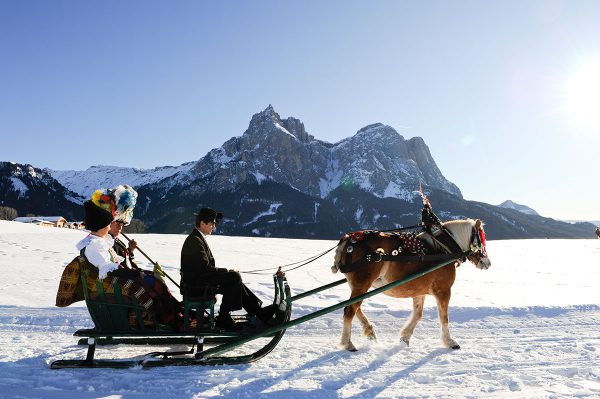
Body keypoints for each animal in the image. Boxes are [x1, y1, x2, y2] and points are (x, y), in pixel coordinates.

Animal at [332, 219, 492, 354]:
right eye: (481, 239)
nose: (488, 263)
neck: (444, 248)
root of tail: (348, 239)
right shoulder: (444, 291)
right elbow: (444, 317)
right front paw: (449, 341)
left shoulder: (418, 290)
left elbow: (418, 314)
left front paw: (405, 337)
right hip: (362, 284)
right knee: (349, 310)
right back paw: (348, 343)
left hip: (358, 285)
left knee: (355, 308)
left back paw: (369, 332)